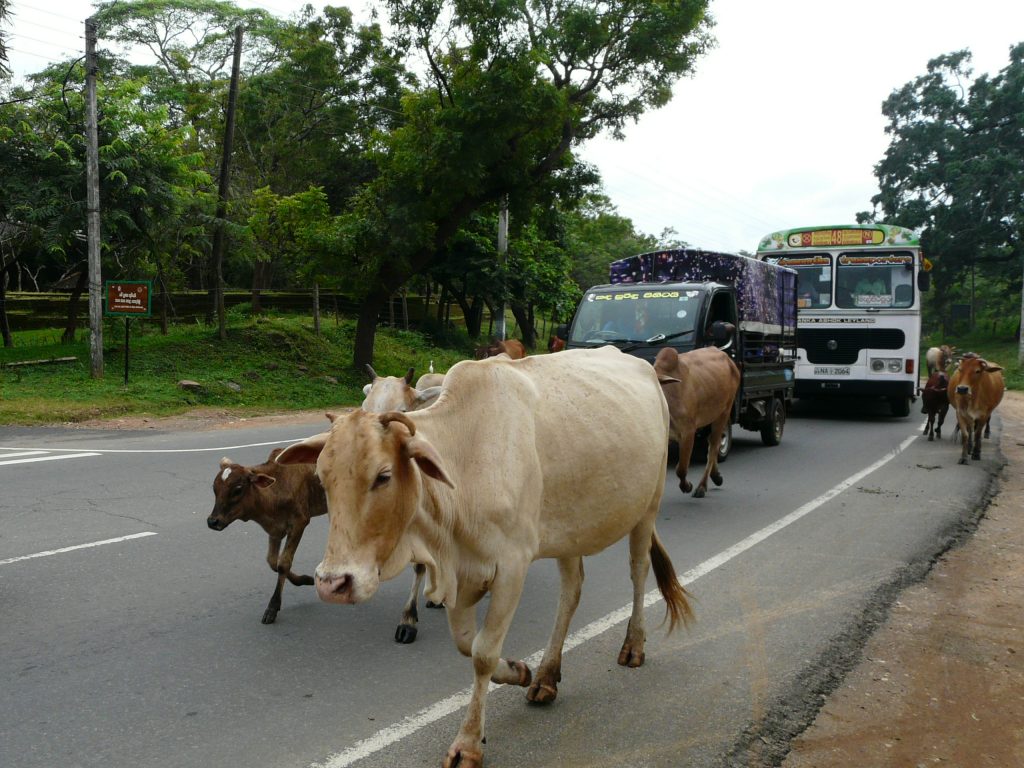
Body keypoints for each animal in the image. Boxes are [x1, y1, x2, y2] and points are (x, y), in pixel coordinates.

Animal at [276, 348, 692, 768]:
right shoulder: (460, 574)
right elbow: (465, 644)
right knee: (571, 593)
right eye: (323, 478)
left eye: (383, 475)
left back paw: (633, 646)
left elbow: (483, 654)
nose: (333, 584)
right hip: (570, 532)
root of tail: (640, 365)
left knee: (638, 572)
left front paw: (468, 742)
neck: (466, 464)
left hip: (648, 506)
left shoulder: (511, 568)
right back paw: (546, 676)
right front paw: (519, 671)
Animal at [655, 344, 737, 499]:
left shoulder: (688, 432)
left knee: (713, 447)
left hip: (724, 412)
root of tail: (729, 359)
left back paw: (701, 487)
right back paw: (716, 476)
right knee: (712, 443)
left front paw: (687, 486)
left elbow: (681, 469)